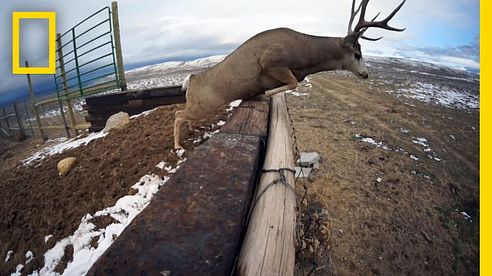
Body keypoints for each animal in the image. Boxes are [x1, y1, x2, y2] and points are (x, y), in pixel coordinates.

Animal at [175, 0, 406, 150]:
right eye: (357, 54)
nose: (365, 74)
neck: (306, 55)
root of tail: (191, 81)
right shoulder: (271, 62)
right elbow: (293, 83)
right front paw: (265, 92)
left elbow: (293, 84)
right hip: (205, 106)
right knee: (178, 115)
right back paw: (179, 146)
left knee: (184, 116)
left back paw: (194, 131)